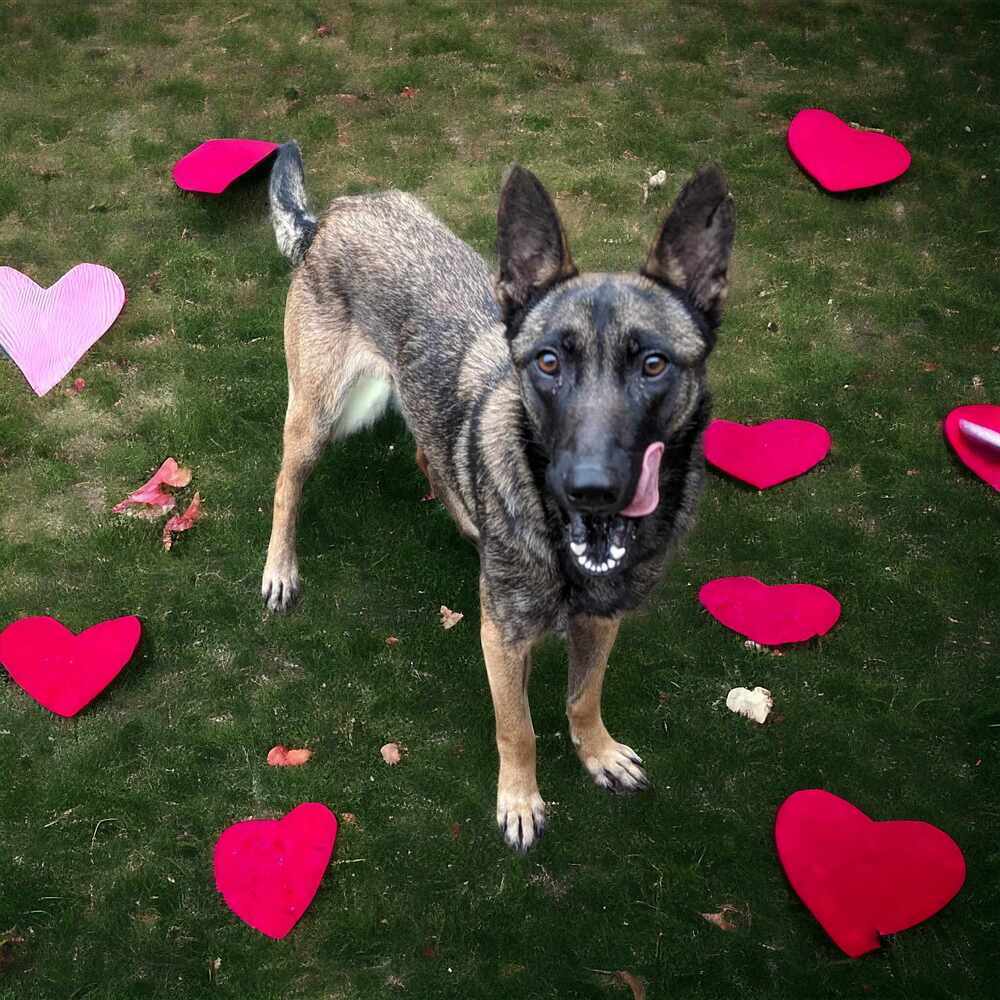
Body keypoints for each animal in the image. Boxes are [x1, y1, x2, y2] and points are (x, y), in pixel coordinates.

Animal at [262, 145, 736, 852]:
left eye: (653, 365)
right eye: (547, 362)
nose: (590, 488)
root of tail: (332, 216)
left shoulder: (602, 619)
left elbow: (583, 696)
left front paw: (597, 751)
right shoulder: (503, 638)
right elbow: (519, 728)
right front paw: (519, 800)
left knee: (429, 449)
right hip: (321, 414)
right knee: (286, 486)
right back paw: (280, 568)